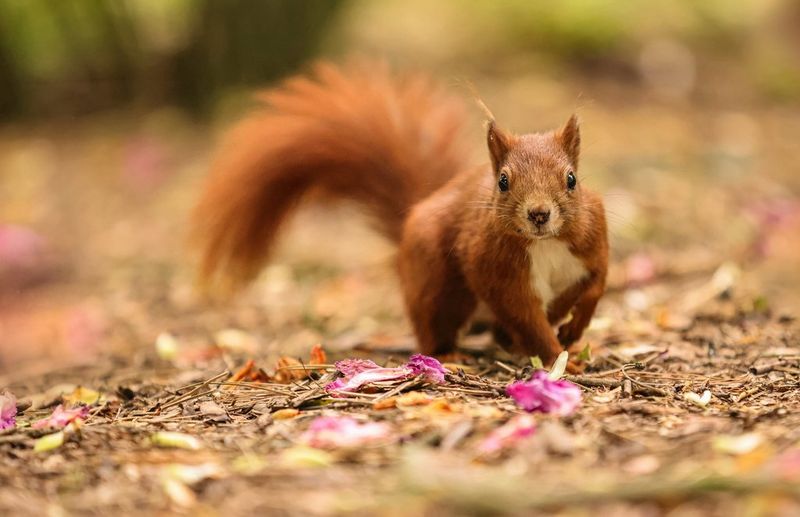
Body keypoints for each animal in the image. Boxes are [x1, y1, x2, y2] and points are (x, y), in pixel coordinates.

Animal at [194, 61, 608, 366]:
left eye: (571, 179)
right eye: (504, 182)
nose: (539, 214)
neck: (545, 244)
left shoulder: (592, 241)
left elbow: (595, 286)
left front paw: (574, 329)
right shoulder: (496, 268)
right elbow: (525, 316)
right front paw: (558, 357)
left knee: (504, 330)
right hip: (438, 282)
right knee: (436, 323)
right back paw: (450, 354)